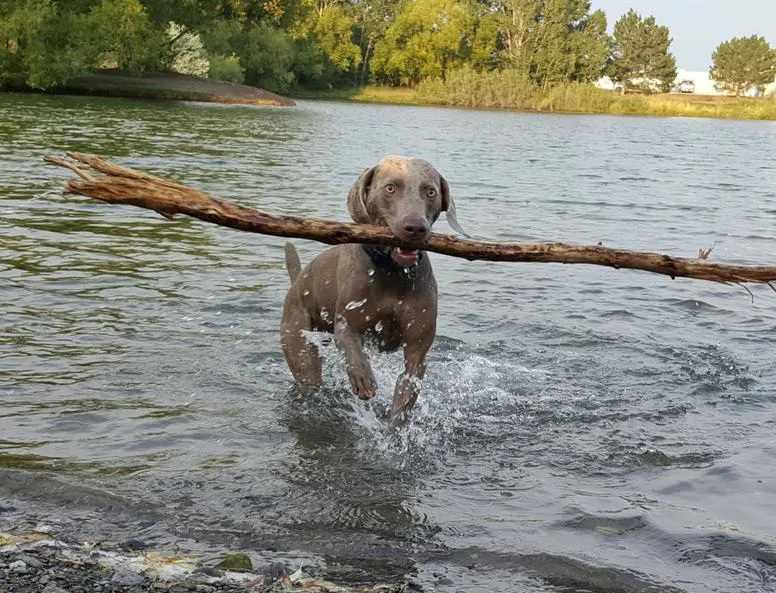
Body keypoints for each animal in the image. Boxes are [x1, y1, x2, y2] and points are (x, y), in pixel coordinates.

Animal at [278, 156, 460, 426]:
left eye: (430, 192)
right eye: (390, 188)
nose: (415, 227)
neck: (393, 271)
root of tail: (297, 282)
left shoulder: (417, 351)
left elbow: (406, 391)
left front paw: (393, 430)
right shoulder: (347, 320)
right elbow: (351, 344)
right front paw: (362, 379)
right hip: (298, 342)